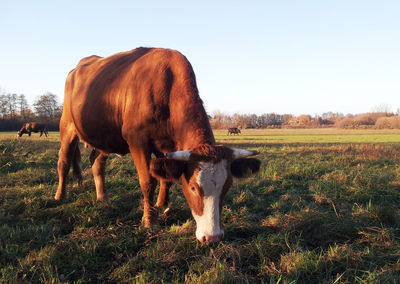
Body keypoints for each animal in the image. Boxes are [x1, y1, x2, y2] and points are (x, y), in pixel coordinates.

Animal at [55, 47, 262, 244]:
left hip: (104, 138)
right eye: (193, 188)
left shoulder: (169, 148)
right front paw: (149, 220)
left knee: (97, 162)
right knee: (64, 161)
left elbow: (166, 178)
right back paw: (60, 196)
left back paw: (103, 198)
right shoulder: (137, 141)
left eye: (227, 186)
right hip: (67, 126)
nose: (212, 237)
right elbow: (148, 181)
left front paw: (162, 205)